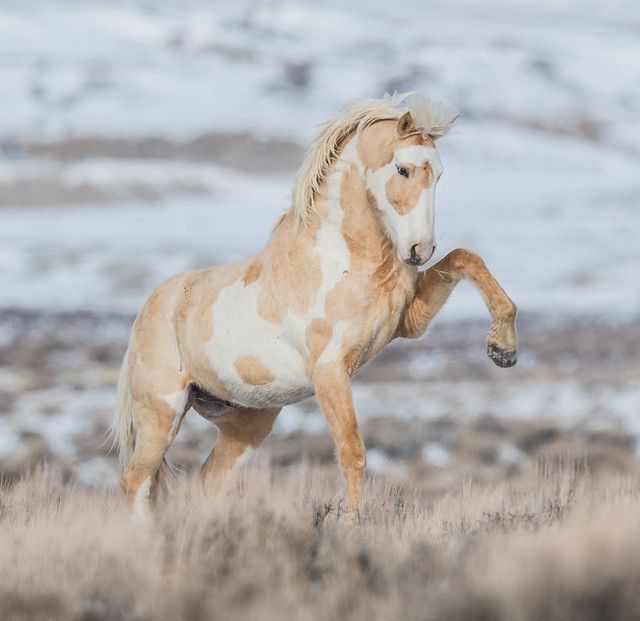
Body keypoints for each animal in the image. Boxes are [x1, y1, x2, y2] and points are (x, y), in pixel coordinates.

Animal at [112, 89, 516, 520]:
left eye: (438, 174)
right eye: (403, 169)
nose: (419, 250)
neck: (345, 261)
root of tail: (147, 310)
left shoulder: (410, 324)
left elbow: (466, 258)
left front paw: (502, 350)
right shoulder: (331, 371)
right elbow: (352, 453)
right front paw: (354, 527)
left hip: (247, 424)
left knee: (205, 482)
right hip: (163, 413)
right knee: (135, 480)